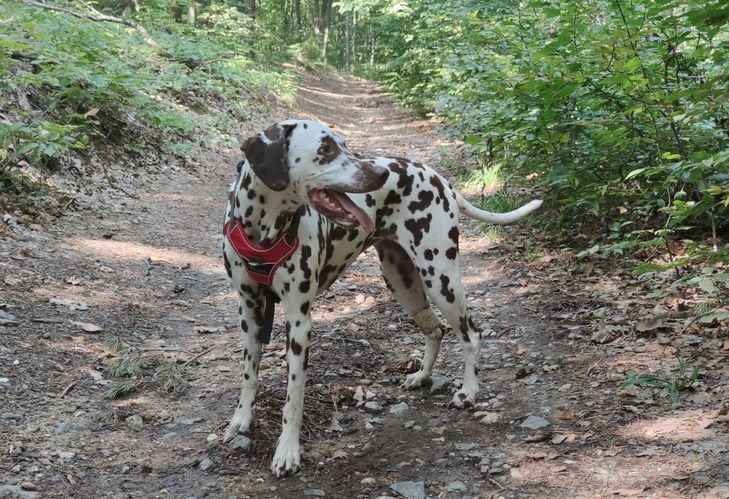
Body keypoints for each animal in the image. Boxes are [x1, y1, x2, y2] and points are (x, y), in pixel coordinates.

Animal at [222, 119, 540, 478]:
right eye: (326, 148)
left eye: (344, 145)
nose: (379, 173)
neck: (263, 231)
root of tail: (439, 178)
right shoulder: (250, 312)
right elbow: (249, 376)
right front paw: (241, 420)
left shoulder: (299, 321)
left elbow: (294, 397)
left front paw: (287, 451)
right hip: (402, 282)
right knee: (436, 330)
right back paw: (422, 376)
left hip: (441, 279)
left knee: (471, 335)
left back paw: (468, 392)